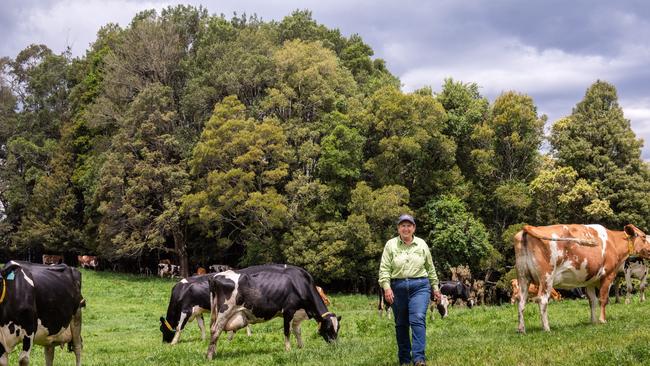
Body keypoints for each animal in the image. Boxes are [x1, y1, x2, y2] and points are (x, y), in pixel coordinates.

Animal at [206, 264, 340, 360]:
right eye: (328, 327)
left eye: (338, 328)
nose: (335, 346)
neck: (301, 283)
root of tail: (215, 276)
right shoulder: (288, 311)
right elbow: (287, 331)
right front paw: (288, 350)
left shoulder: (297, 314)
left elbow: (297, 331)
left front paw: (301, 347)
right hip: (225, 311)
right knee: (215, 331)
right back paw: (209, 357)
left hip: (216, 313)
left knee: (213, 330)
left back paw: (214, 352)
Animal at [512, 223, 648, 332]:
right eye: (644, 236)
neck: (613, 242)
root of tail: (529, 227)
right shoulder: (608, 275)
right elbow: (603, 299)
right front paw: (602, 320)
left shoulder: (590, 281)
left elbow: (592, 301)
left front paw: (593, 321)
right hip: (546, 277)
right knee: (542, 300)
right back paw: (546, 328)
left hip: (523, 277)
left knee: (521, 301)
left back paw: (521, 329)